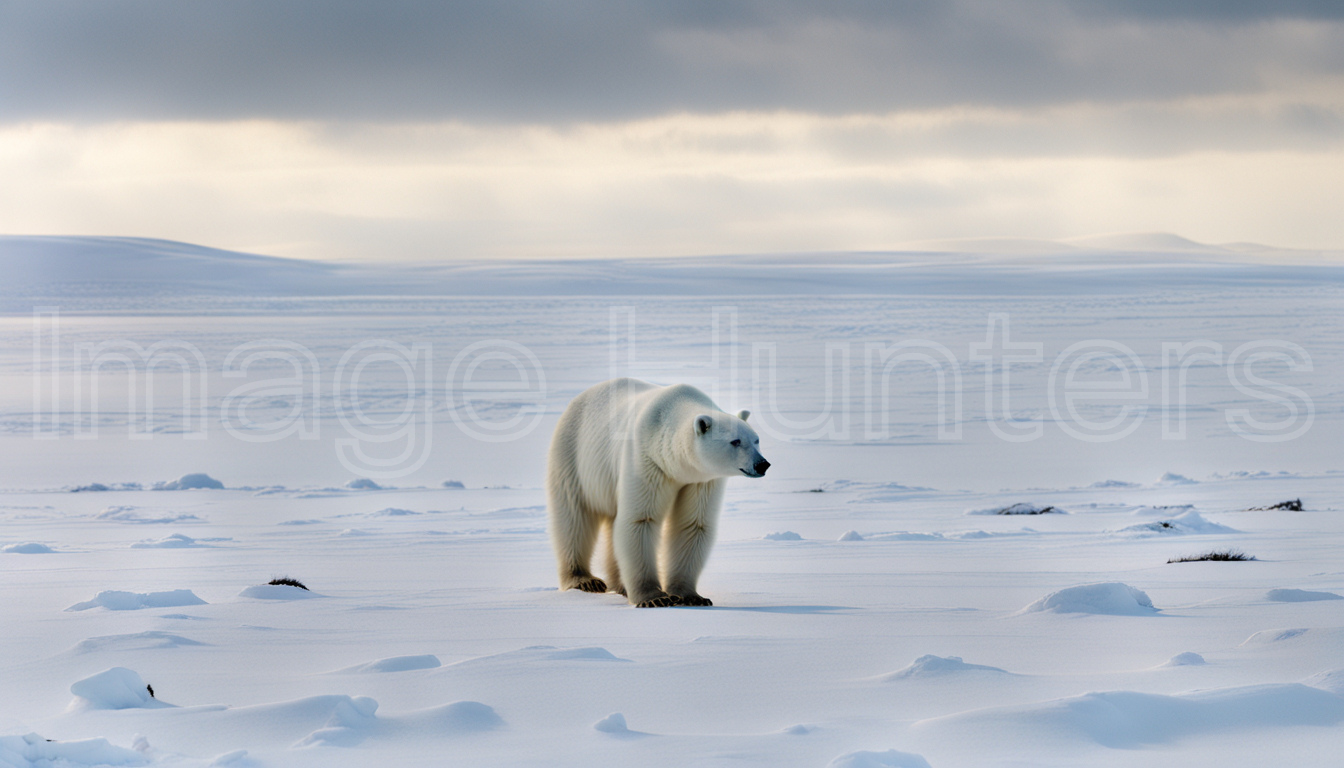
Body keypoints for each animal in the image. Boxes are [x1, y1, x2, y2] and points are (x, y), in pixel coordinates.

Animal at [545, 379, 774, 607]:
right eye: (735, 441)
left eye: (756, 440)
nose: (762, 464)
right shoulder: (648, 461)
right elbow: (641, 520)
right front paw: (655, 598)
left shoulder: (701, 480)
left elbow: (693, 525)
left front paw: (691, 596)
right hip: (573, 456)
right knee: (574, 517)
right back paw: (584, 580)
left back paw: (620, 586)